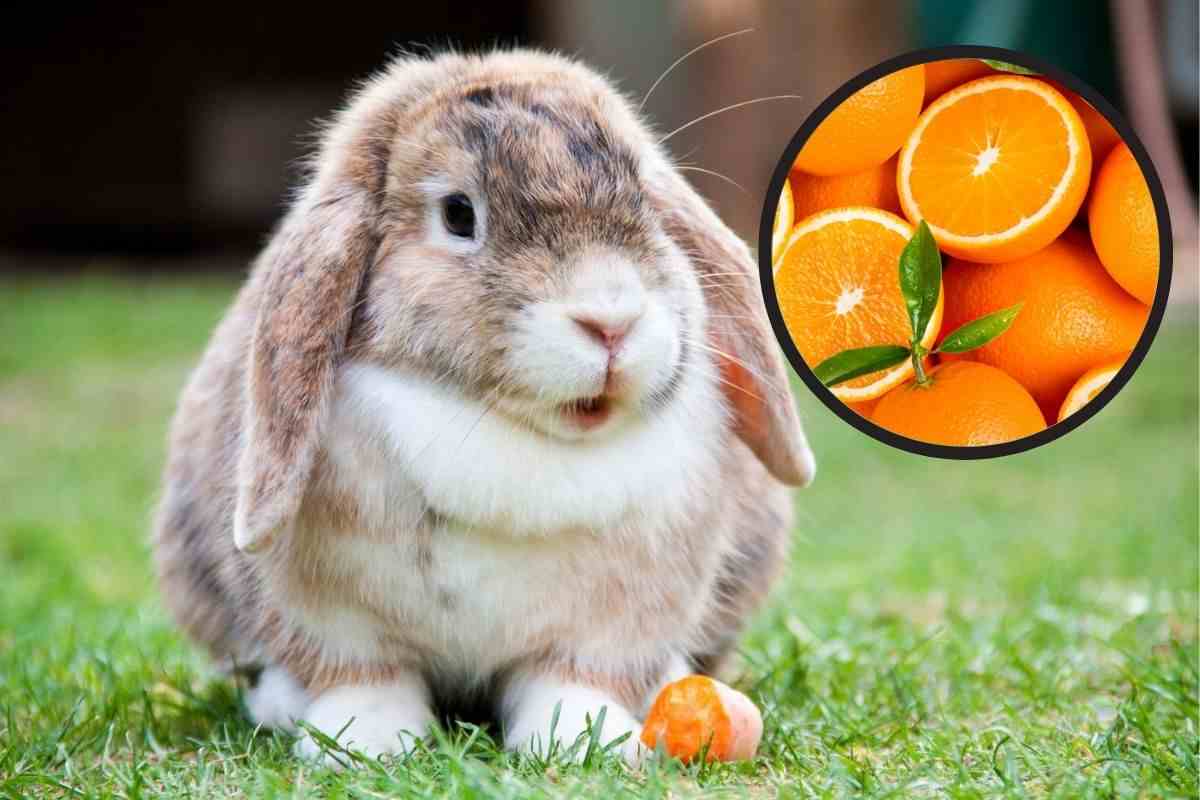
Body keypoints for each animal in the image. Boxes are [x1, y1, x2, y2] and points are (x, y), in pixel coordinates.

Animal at [153, 48, 815, 766]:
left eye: (643, 197)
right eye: (458, 214)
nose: (611, 321)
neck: (511, 431)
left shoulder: (612, 624)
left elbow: (573, 680)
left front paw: (584, 742)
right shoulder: (334, 619)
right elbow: (366, 678)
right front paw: (364, 744)